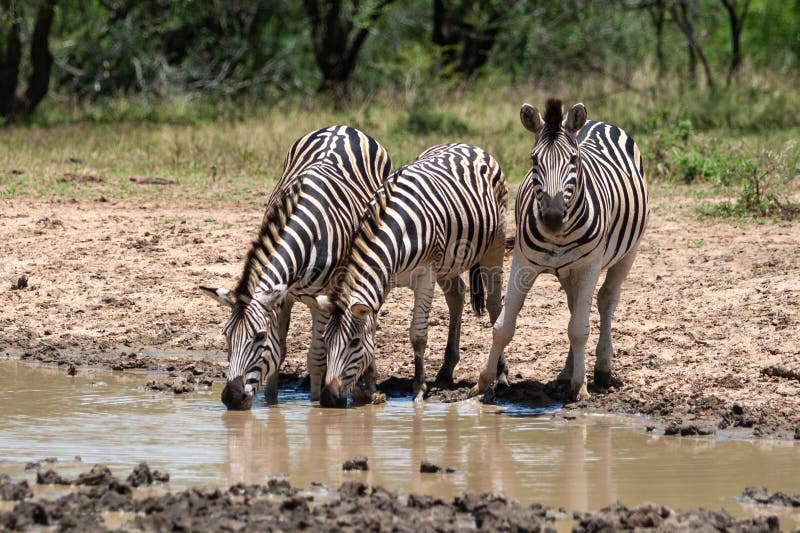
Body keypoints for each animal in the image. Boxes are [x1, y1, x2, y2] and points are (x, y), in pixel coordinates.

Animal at [197, 124, 390, 408]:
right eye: (226, 335)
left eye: (259, 336)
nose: (231, 397)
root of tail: (342, 126)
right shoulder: (281, 296)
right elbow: (280, 350)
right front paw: (271, 402)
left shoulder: (323, 299)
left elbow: (318, 356)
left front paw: (316, 403)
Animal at [318, 143, 510, 406]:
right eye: (326, 340)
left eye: (353, 342)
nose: (328, 398)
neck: (396, 230)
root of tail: (468, 145)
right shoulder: (384, 279)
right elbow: (372, 327)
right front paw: (369, 387)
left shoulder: (426, 275)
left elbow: (418, 335)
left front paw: (418, 388)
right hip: (449, 261)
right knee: (456, 295)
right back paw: (446, 371)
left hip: (495, 244)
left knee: (493, 304)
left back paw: (501, 373)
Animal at [472, 98, 648, 400]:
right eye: (534, 159)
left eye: (574, 159)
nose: (553, 217)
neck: (559, 236)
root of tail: (598, 122)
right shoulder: (523, 262)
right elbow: (503, 327)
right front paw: (484, 381)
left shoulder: (590, 265)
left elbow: (578, 329)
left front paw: (580, 386)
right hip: (568, 271)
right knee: (575, 305)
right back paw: (567, 372)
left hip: (628, 252)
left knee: (606, 299)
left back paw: (602, 370)